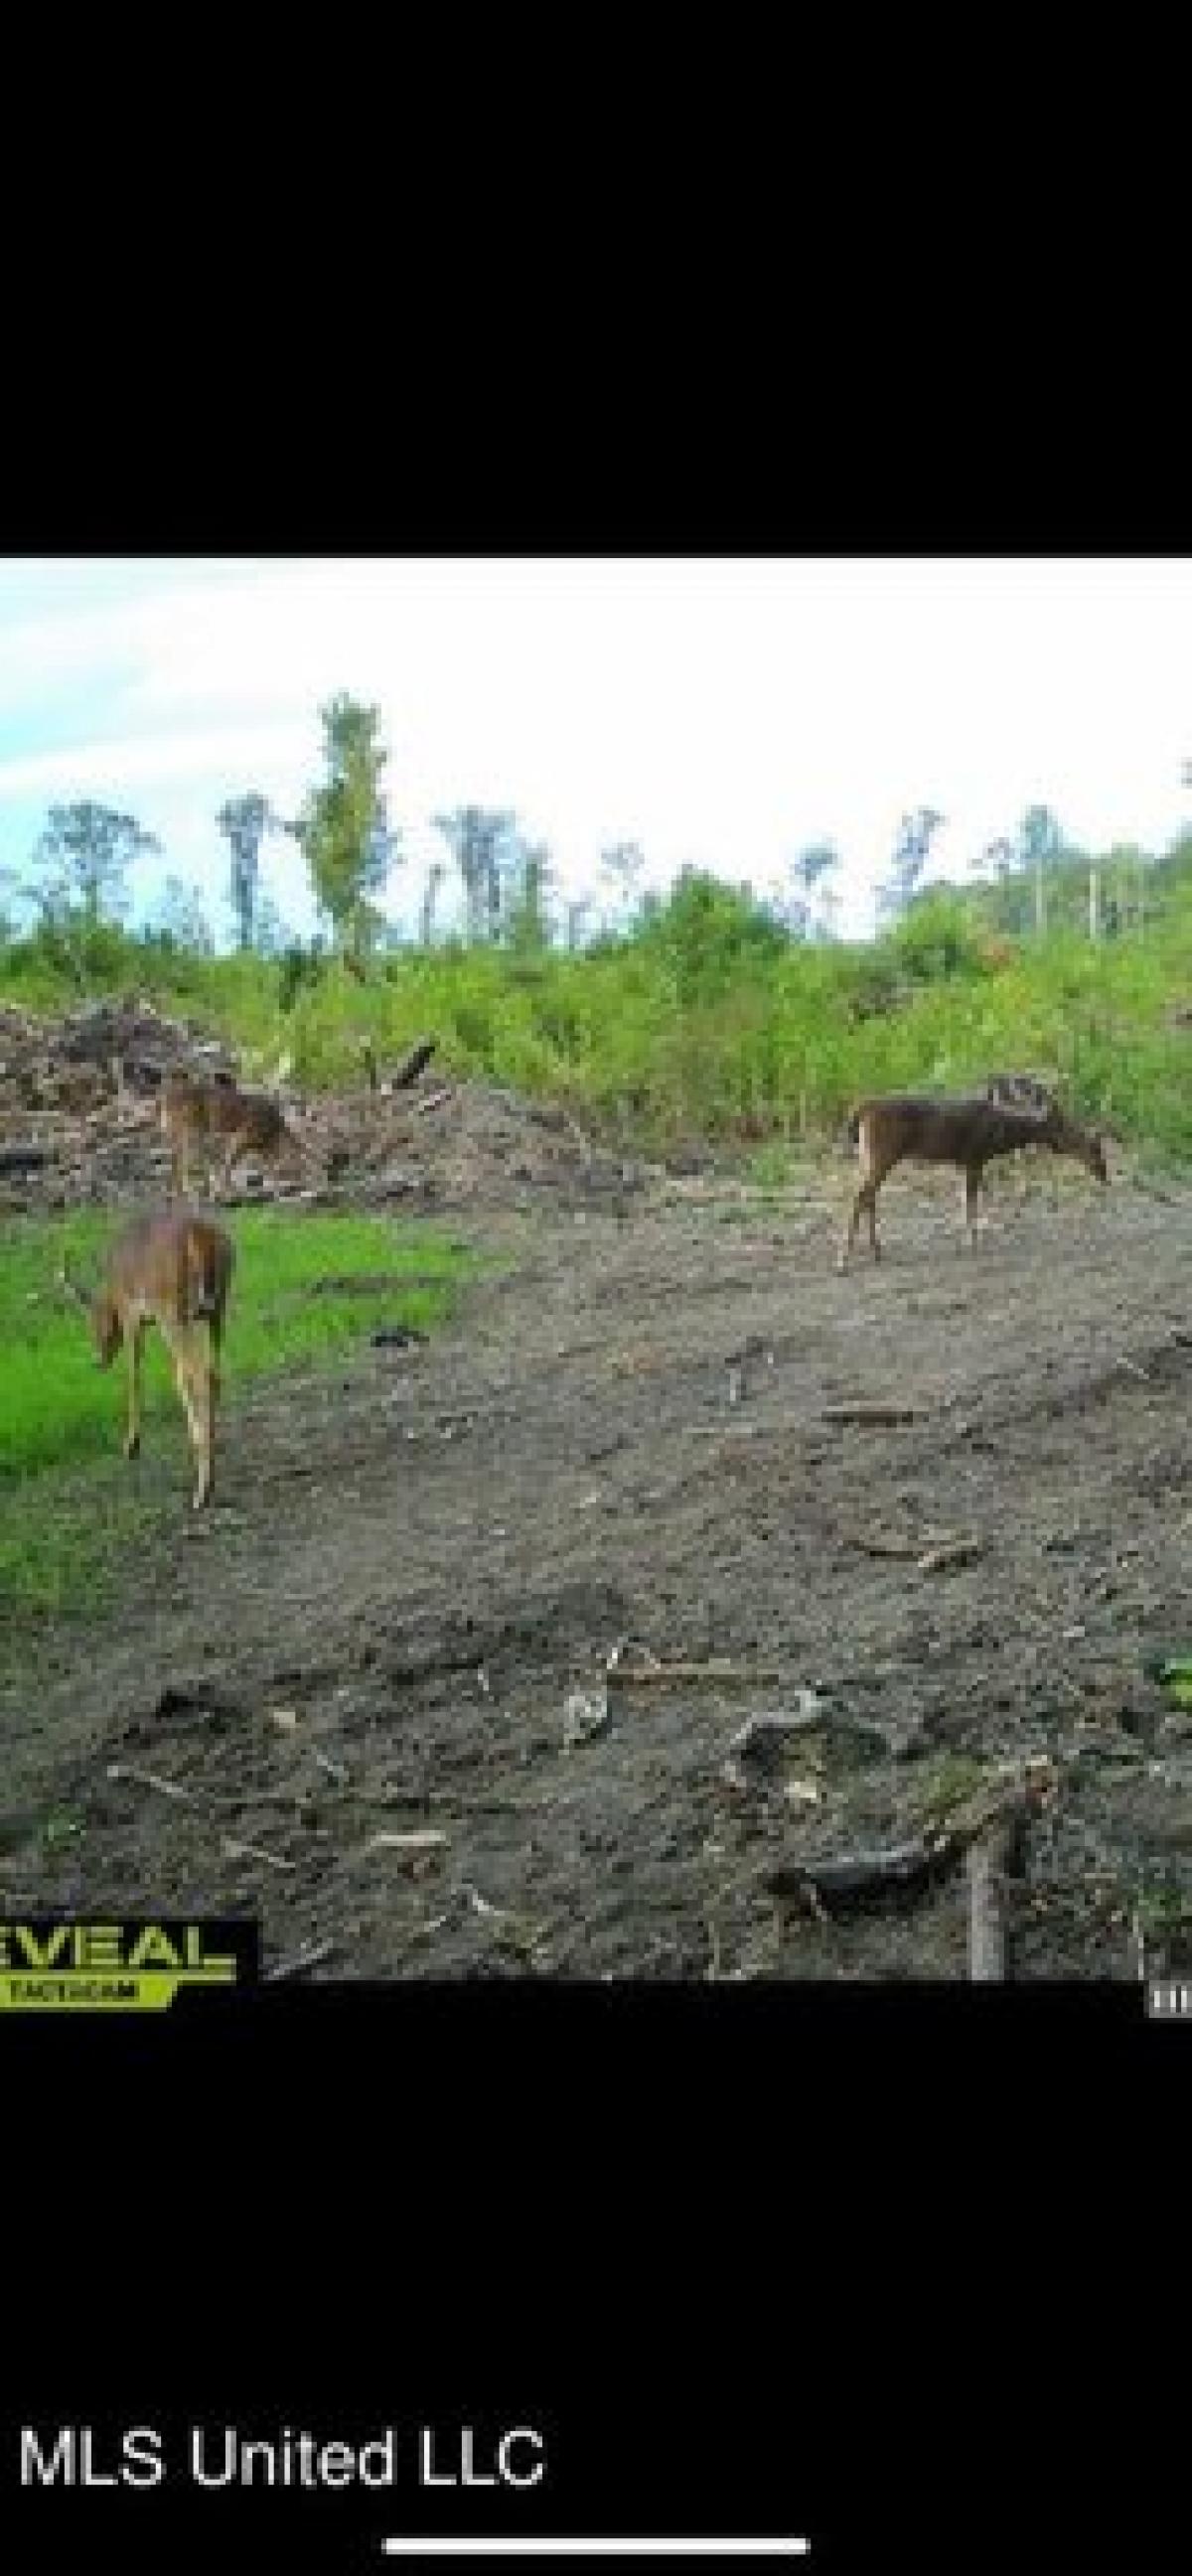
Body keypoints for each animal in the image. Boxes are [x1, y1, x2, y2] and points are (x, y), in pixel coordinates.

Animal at [60, 1205, 235, 1503]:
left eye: (94, 1322)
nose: (98, 1361)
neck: (112, 1285)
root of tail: (200, 1238)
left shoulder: (131, 1313)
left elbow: (134, 1374)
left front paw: (131, 1444)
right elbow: (178, 1378)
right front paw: (195, 1433)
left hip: (173, 1310)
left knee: (201, 1375)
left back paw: (203, 1489)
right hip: (215, 1309)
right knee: (211, 1373)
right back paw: (207, 1458)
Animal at [160, 1061, 327, 1200]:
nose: (320, 1191)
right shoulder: (239, 1140)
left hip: (193, 1135)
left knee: (180, 1160)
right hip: (197, 1134)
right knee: (184, 1161)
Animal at [838, 1091, 1112, 1272]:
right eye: (1093, 1148)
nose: (1104, 1174)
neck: (1002, 1133)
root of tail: (860, 1112)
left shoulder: (968, 1162)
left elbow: (967, 1201)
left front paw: (968, 1240)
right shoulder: (974, 1157)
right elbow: (970, 1202)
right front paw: (972, 1242)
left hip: (868, 1157)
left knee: (868, 1196)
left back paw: (876, 1251)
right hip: (883, 1153)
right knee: (861, 1196)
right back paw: (844, 1260)